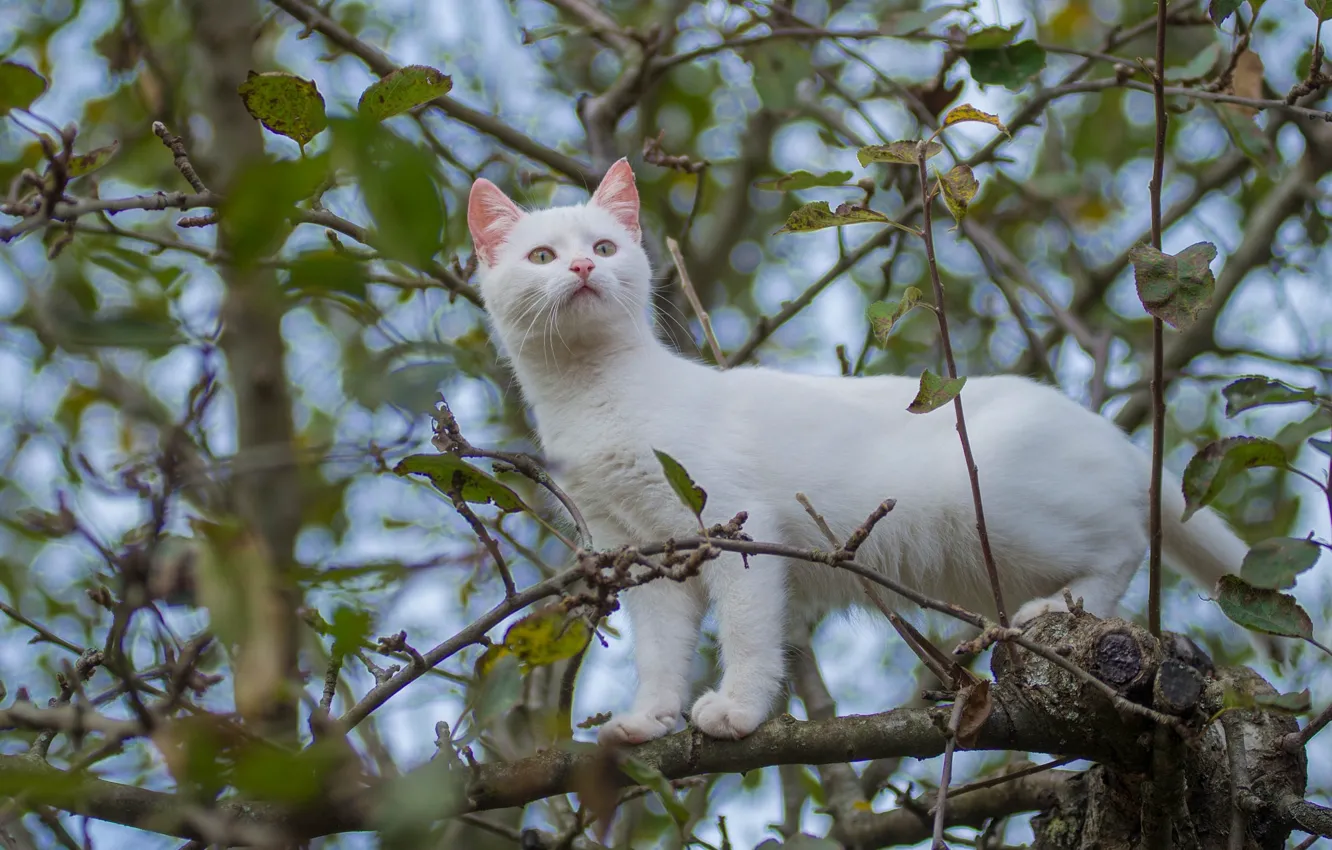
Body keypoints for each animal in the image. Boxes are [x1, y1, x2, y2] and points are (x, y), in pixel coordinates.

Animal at [471, 159, 1257, 746]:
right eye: (542, 256)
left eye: (604, 247)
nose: (580, 268)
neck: (596, 399)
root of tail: (1112, 436)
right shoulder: (642, 558)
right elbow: (662, 654)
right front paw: (648, 719)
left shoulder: (735, 526)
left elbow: (748, 635)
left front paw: (737, 710)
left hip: (998, 511)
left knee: (1124, 543)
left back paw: (1055, 609)